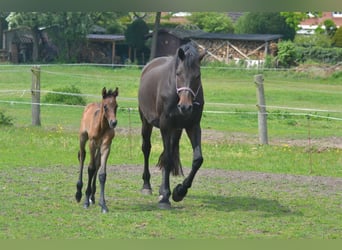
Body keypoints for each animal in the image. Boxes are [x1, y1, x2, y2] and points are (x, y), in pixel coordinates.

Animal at [138, 43, 206, 209]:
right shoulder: (165, 126)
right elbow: (167, 158)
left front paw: (179, 192)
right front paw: (165, 197)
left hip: (176, 130)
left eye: (198, 76)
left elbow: (197, 159)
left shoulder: (193, 126)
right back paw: (146, 185)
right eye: (178, 73)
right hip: (146, 122)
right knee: (146, 148)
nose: (186, 107)